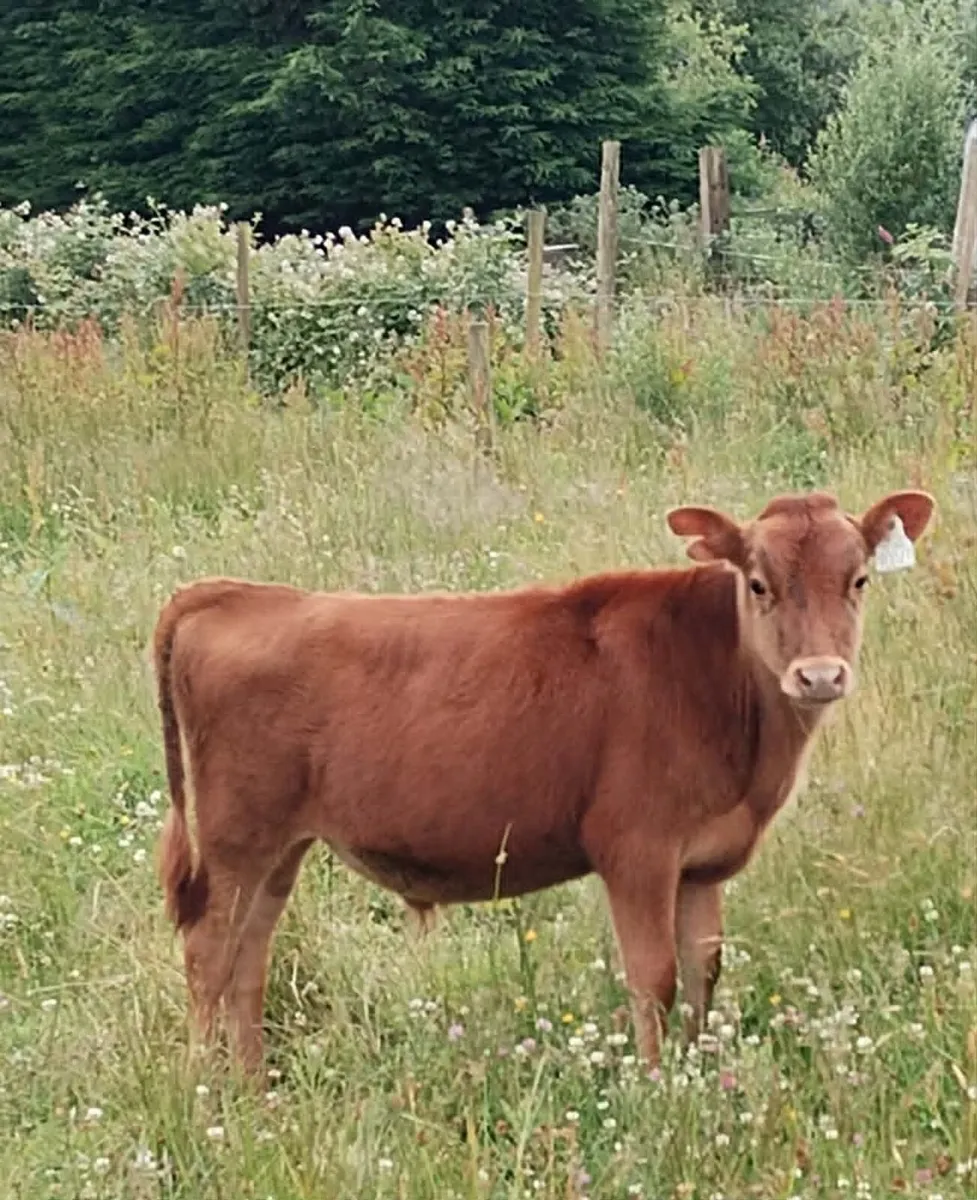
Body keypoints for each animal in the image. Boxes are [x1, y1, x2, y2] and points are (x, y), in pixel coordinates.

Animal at [152, 487, 935, 1077]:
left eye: (858, 580)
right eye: (758, 583)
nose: (819, 676)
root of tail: (230, 594)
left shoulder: (704, 863)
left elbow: (702, 973)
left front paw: (700, 1076)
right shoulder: (637, 852)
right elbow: (653, 978)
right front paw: (659, 1090)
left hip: (279, 850)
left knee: (248, 962)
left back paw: (254, 1092)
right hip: (235, 842)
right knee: (207, 959)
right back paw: (206, 1098)